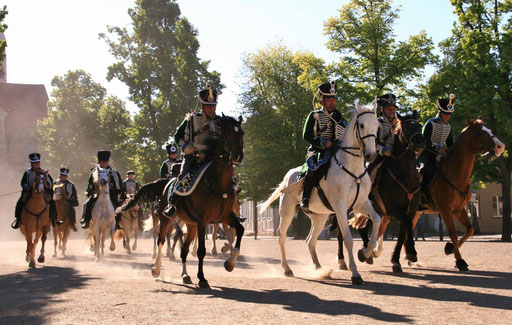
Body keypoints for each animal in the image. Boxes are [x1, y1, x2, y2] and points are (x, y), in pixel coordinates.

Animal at [258, 99, 382, 284]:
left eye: (377, 125)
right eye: (361, 125)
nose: (370, 155)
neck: (352, 169)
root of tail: (288, 175)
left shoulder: (361, 203)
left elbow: (377, 220)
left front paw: (366, 253)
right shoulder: (340, 207)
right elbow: (348, 239)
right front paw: (355, 273)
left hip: (320, 217)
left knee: (310, 240)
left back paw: (319, 267)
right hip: (287, 212)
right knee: (282, 236)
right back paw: (287, 269)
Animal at [418, 117, 506, 270]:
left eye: (490, 130)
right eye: (479, 132)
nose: (501, 146)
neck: (453, 173)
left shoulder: (459, 209)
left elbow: (470, 229)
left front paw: (449, 249)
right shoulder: (445, 209)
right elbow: (453, 233)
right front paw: (460, 260)